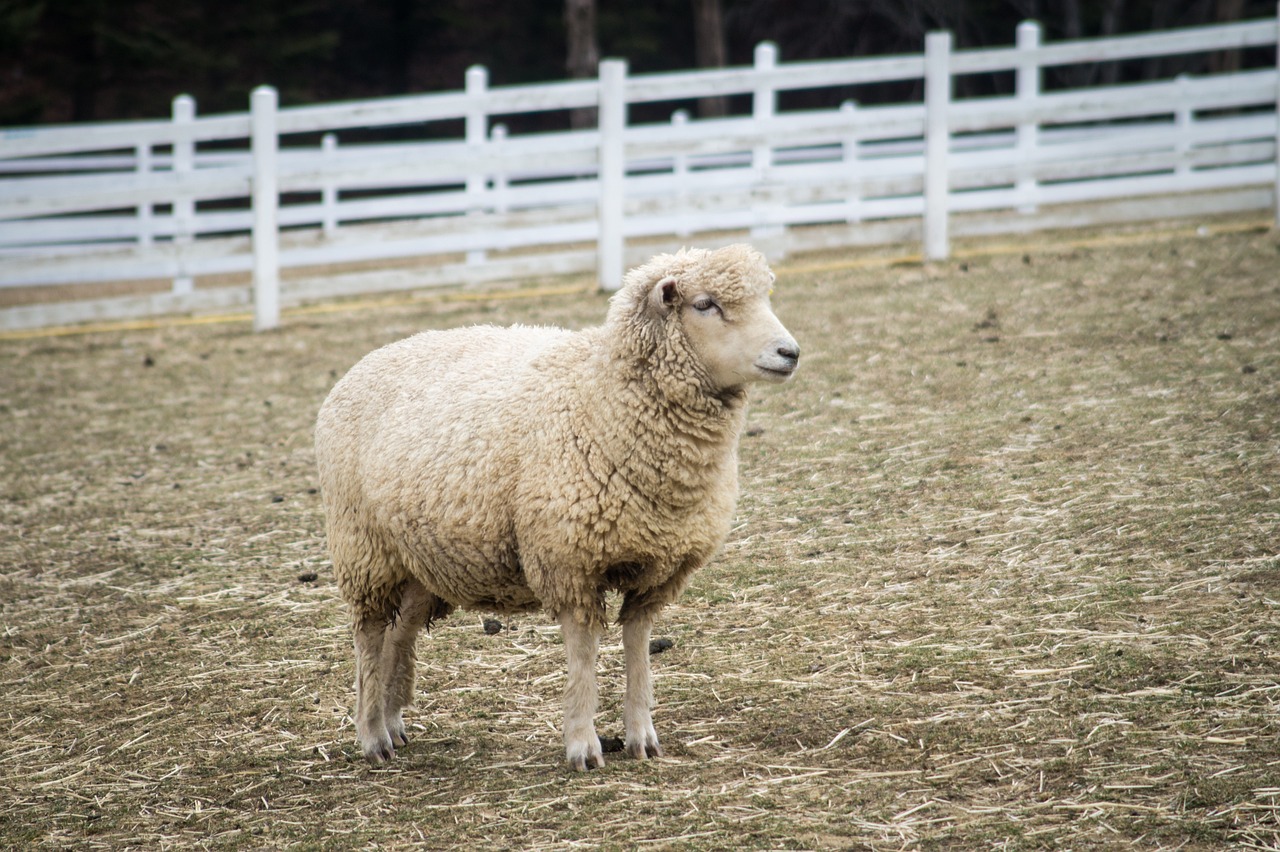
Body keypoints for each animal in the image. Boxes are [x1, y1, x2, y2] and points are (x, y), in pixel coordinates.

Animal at [314, 241, 798, 767]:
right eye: (705, 304)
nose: (790, 352)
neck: (601, 398)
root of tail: (368, 359)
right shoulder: (568, 560)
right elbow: (583, 654)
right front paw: (583, 744)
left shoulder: (658, 569)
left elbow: (638, 645)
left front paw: (641, 736)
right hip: (364, 548)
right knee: (369, 636)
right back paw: (371, 735)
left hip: (423, 557)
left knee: (399, 635)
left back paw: (394, 721)